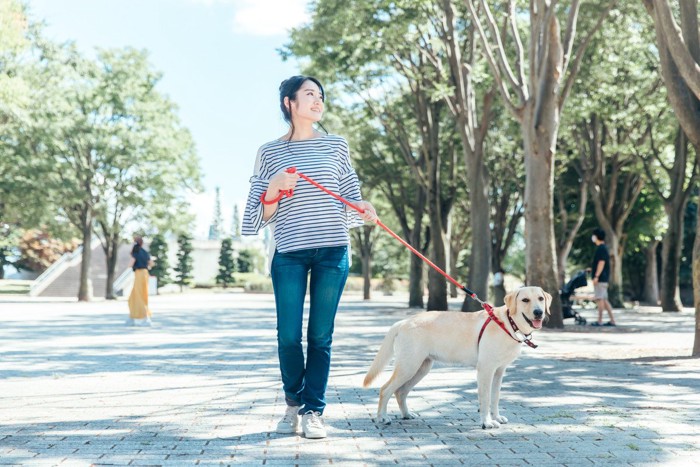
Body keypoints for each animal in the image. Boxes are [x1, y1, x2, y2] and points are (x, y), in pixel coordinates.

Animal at [360, 288, 552, 430]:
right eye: (525, 300)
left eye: (541, 298)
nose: (539, 312)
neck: (509, 323)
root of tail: (403, 322)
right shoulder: (485, 370)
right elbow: (485, 398)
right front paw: (487, 422)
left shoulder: (499, 371)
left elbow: (495, 397)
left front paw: (496, 417)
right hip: (409, 366)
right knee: (385, 389)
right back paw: (382, 418)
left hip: (421, 368)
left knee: (400, 392)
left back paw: (406, 415)